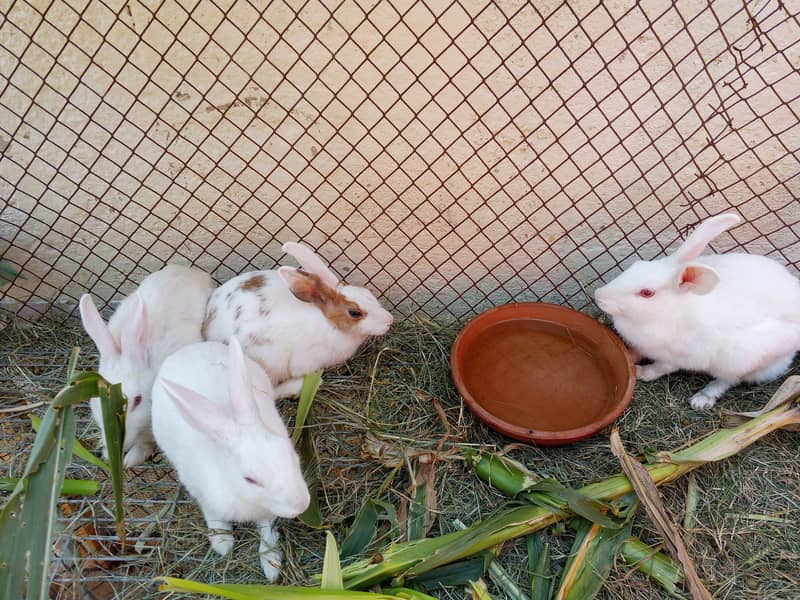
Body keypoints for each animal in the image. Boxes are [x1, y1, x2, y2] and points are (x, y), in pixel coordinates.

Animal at [79, 264, 214, 467]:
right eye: (98, 398)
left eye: (137, 400)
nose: (119, 444)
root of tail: (188, 269)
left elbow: (147, 440)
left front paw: (132, 458)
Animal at [151, 336, 310, 581]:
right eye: (250, 479)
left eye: (292, 456)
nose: (301, 504)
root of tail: (190, 349)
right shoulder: (204, 496)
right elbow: (215, 519)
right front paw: (223, 544)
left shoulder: (267, 513)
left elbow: (267, 533)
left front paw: (271, 565)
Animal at [202, 241, 394, 398]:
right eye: (354, 313)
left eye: (368, 292)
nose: (390, 320)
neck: (329, 323)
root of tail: (207, 328)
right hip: (269, 362)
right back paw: (298, 387)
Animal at [594, 213, 800, 409]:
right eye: (636, 264)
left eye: (646, 293)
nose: (598, 296)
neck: (666, 312)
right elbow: (636, 352)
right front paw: (630, 358)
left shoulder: (677, 358)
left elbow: (660, 368)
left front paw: (640, 372)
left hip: (740, 358)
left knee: (729, 380)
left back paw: (702, 399)